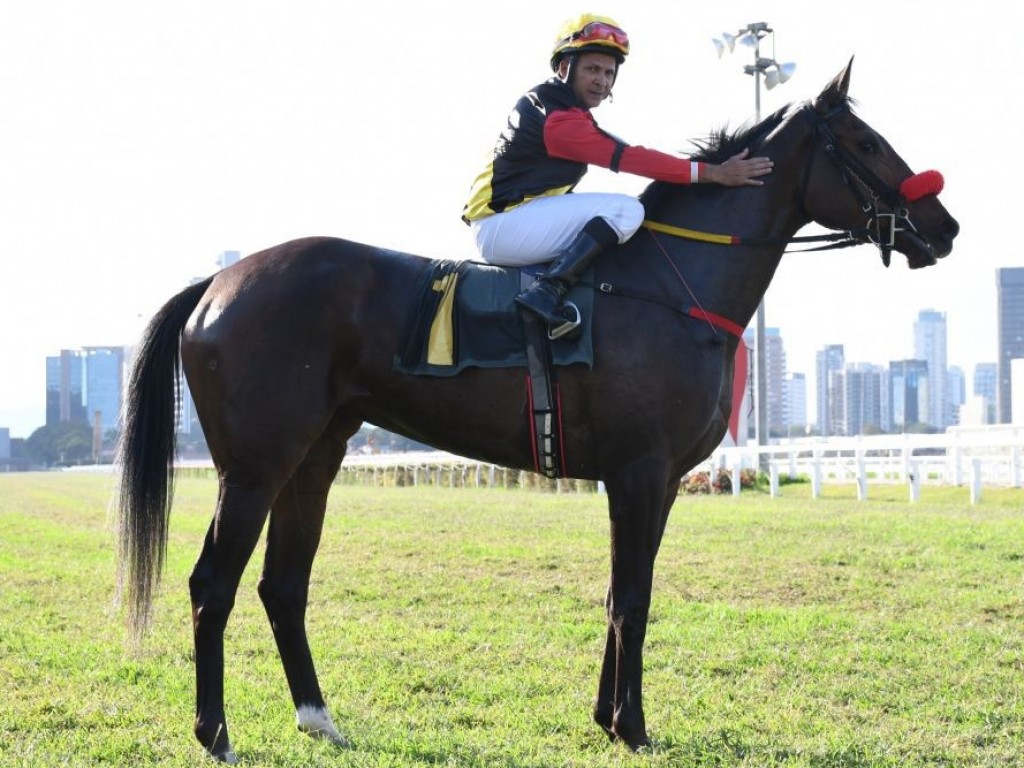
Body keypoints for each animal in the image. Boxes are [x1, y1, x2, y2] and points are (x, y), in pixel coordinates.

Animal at [116, 61, 954, 765]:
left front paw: (607, 719)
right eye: (866, 142)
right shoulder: (639, 472)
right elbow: (633, 598)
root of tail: (219, 281)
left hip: (315, 458)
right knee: (212, 583)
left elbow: (622, 593)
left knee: (282, 585)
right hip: (254, 466)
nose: (944, 227)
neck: (668, 287)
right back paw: (216, 734)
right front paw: (633, 727)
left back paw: (319, 719)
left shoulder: (655, 482)